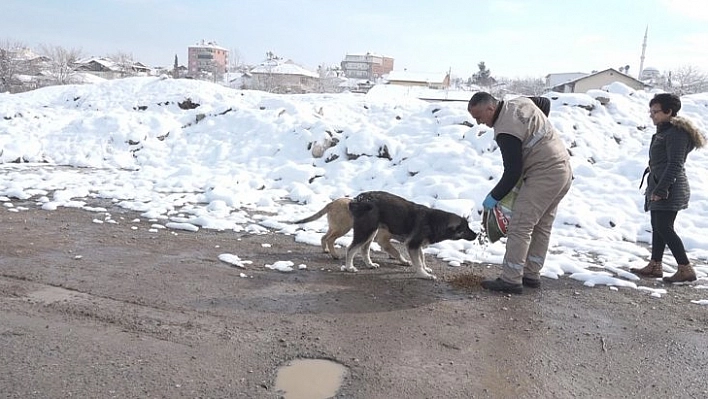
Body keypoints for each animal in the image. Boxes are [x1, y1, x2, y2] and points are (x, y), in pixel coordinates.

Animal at [342, 191, 476, 280]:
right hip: (366, 231)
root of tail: (357, 199)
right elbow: (418, 262)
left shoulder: (418, 245)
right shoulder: (413, 245)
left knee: (364, 249)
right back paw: (349, 267)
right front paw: (424, 275)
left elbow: (422, 259)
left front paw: (425, 269)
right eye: (465, 230)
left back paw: (369, 264)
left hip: (371, 231)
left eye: (468, 227)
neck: (435, 222)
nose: (476, 235)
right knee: (351, 249)